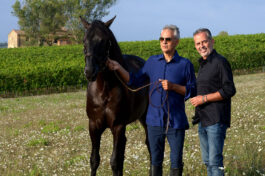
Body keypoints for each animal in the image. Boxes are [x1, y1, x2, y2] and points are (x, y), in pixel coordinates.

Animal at [80, 15, 150, 175]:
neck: (104, 90)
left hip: (146, 118)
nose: (89, 71)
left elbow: (114, 162)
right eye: (84, 40)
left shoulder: (118, 126)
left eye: (104, 40)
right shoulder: (93, 126)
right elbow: (94, 160)